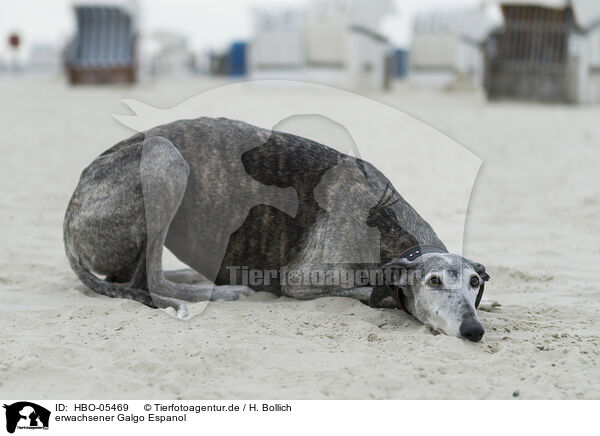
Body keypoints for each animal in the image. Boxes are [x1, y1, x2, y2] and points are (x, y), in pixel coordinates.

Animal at [63, 118, 490, 340]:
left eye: (474, 283)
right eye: (433, 281)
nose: (474, 330)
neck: (382, 220)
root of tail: (70, 213)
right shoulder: (301, 280)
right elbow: (374, 294)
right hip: (164, 157)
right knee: (147, 281)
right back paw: (221, 291)